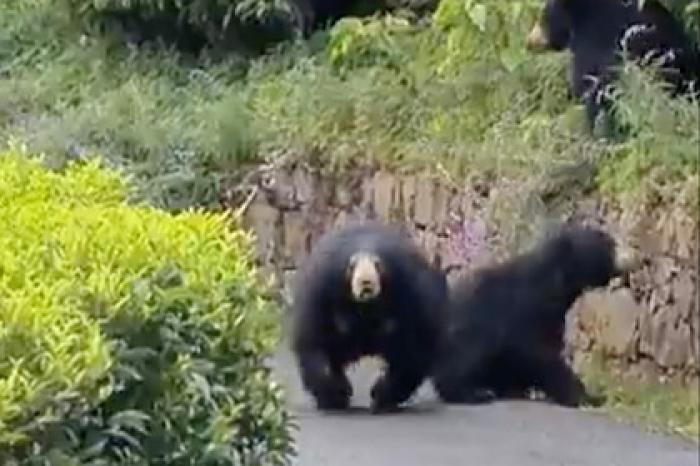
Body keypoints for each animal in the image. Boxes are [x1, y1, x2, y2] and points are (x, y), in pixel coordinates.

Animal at [292, 221, 448, 412]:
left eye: (378, 265)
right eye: (351, 266)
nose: (366, 282)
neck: (367, 308)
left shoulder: (414, 298)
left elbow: (412, 353)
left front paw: (381, 396)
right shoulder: (320, 295)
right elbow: (314, 344)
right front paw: (335, 397)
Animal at [434, 226, 644, 408]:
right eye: (609, 242)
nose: (635, 254)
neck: (555, 282)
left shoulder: (552, 314)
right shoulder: (527, 308)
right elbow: (538, 352)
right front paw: (584, 396)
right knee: (469, 354)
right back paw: (472, 392)